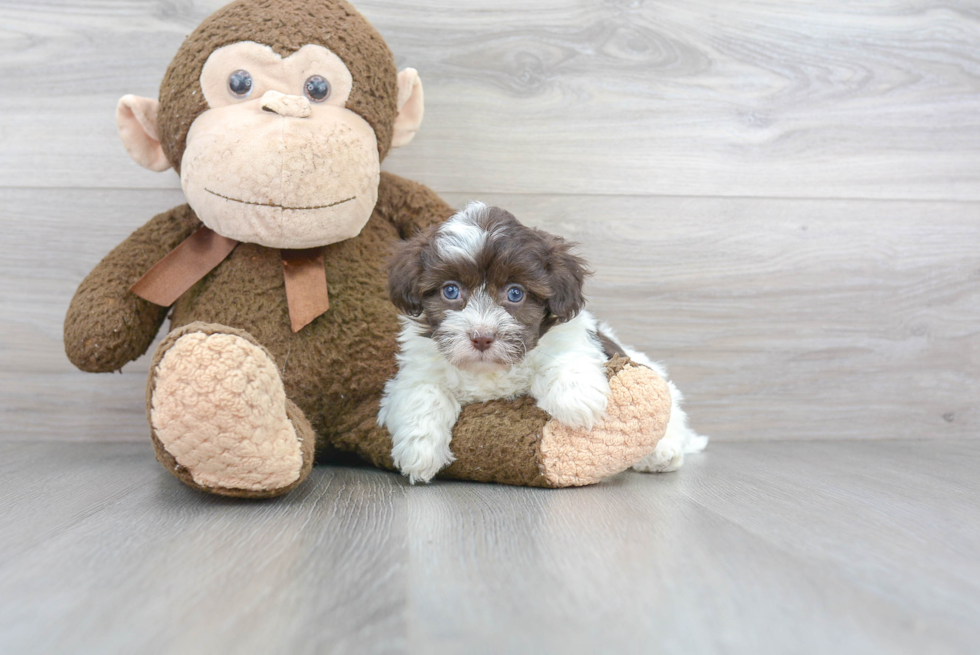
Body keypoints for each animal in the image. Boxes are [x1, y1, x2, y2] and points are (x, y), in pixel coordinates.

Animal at [378, 202, 704, 484]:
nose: (482, 337)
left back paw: (661, 453)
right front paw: (420, 452)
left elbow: (563, 356)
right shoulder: (414, 372)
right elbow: (424, 393)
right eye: (450, 291)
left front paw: (576, 399)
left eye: (515, 293)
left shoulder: (575, 339)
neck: (490, 371)